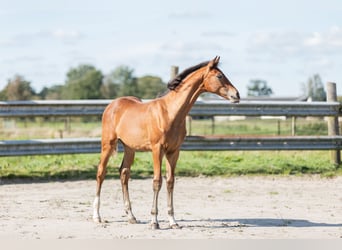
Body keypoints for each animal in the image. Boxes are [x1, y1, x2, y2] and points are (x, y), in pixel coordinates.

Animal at [92, 56, 239, 229]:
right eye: (219, 76)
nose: (236, 95)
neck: (170, 112)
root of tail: (112, 105)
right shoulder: (157, 149)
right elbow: (157, 181)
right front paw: (154, 221)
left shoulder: (174, 151)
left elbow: (170, 182)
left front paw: (173, 221)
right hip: (108, 144)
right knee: (101, 172)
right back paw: (97, 216)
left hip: (130, 148)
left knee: (124, 173)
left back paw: (131, 216)